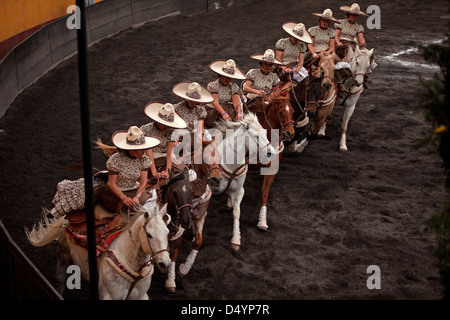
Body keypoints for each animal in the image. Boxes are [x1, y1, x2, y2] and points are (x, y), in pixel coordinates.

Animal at [25, 198, 171, 300]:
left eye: (167, 232)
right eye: (149, 234)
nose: (165, 263)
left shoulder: (141, 296)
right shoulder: (109, 296)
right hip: (63, 256)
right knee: (60, 281)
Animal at [207, 112, 278, 250]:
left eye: (265, 133)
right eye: (256, 136)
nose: (271, 153)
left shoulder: (239, 191)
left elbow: (237, 212)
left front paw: (236, 239)